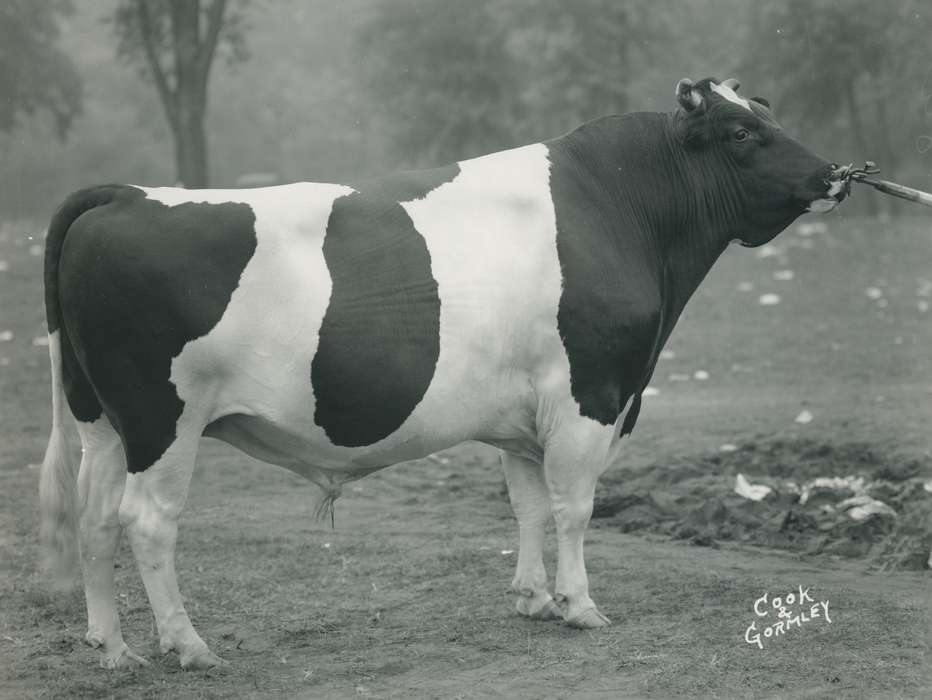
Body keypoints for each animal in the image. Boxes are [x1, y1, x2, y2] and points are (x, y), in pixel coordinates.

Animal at [39, 78, 848, 669]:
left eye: (768, 115)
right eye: (742, 134)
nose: (835, 172)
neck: (621, 207)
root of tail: (126, 193)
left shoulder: (524, 414)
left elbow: (526, 504)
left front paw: (532, 598)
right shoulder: (589, 394)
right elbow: (573, 507)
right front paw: (580, 606)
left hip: (101, 419)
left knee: (96, 517)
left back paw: (115, 648)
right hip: (162, 419)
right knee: (148, 523)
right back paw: (188, 646)